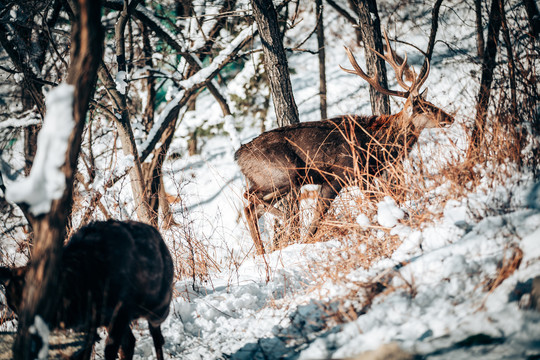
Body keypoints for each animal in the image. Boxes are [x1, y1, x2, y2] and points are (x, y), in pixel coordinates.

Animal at [0, 219, 174, 360]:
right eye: (13, 305)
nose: (25, 333)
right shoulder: (89, 325)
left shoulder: (120, 314)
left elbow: (109, 351)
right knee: (130, 343)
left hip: (158, 309)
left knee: (157, 338)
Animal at [236, 32, 456, 255]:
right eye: (425, 109)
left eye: (430, 103)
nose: (450, 117)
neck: (375, 147)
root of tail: (239, 156)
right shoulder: (346, 174)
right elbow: (365, 205)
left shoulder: (347, 178)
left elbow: (318, 219)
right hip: (283, 174)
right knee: (249, 198)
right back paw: (283, 219)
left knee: (250, 208)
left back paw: (262, 253)